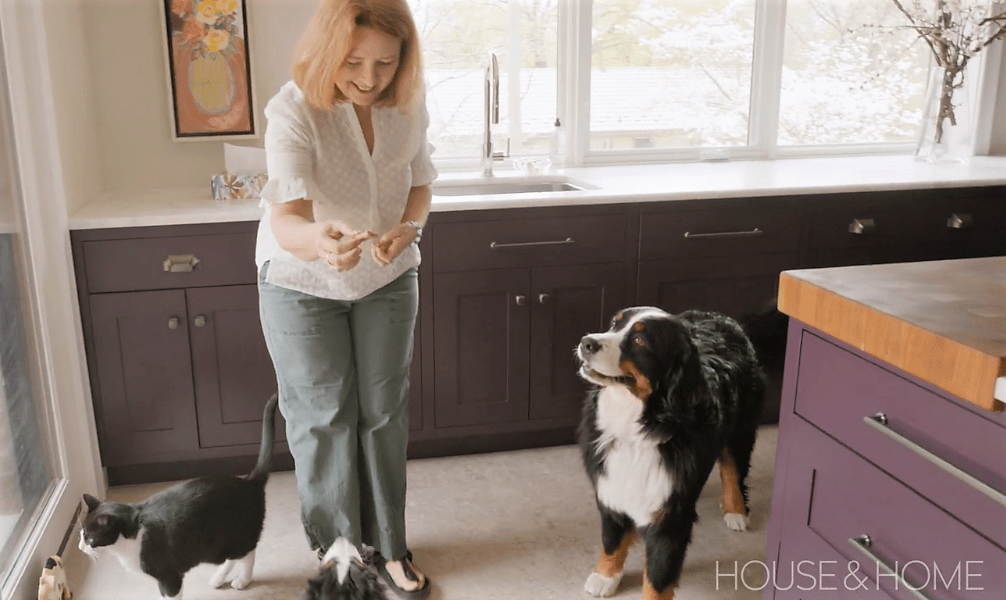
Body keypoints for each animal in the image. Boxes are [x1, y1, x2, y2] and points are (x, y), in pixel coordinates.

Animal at [77, 390, 279, 595]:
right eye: (81, 534)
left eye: (89, 537)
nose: (80, 547)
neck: (131, 536)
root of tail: (249, 481)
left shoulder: (168, 576)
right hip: (215, 547)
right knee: (234, 556)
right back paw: (218, 578)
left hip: (232, 536)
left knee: (248, 552)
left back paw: (243, 579)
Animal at [575, 306, 760, 595]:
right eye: (614, 324)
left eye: (640, 341)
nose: (587, 342)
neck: (636, 429)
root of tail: (716, 314)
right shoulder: (611, 489)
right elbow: (612, 537)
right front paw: (605, 576)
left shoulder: (671, 516)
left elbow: (658, 579)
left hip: (741, 429)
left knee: (732, 469)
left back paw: (736, 511)